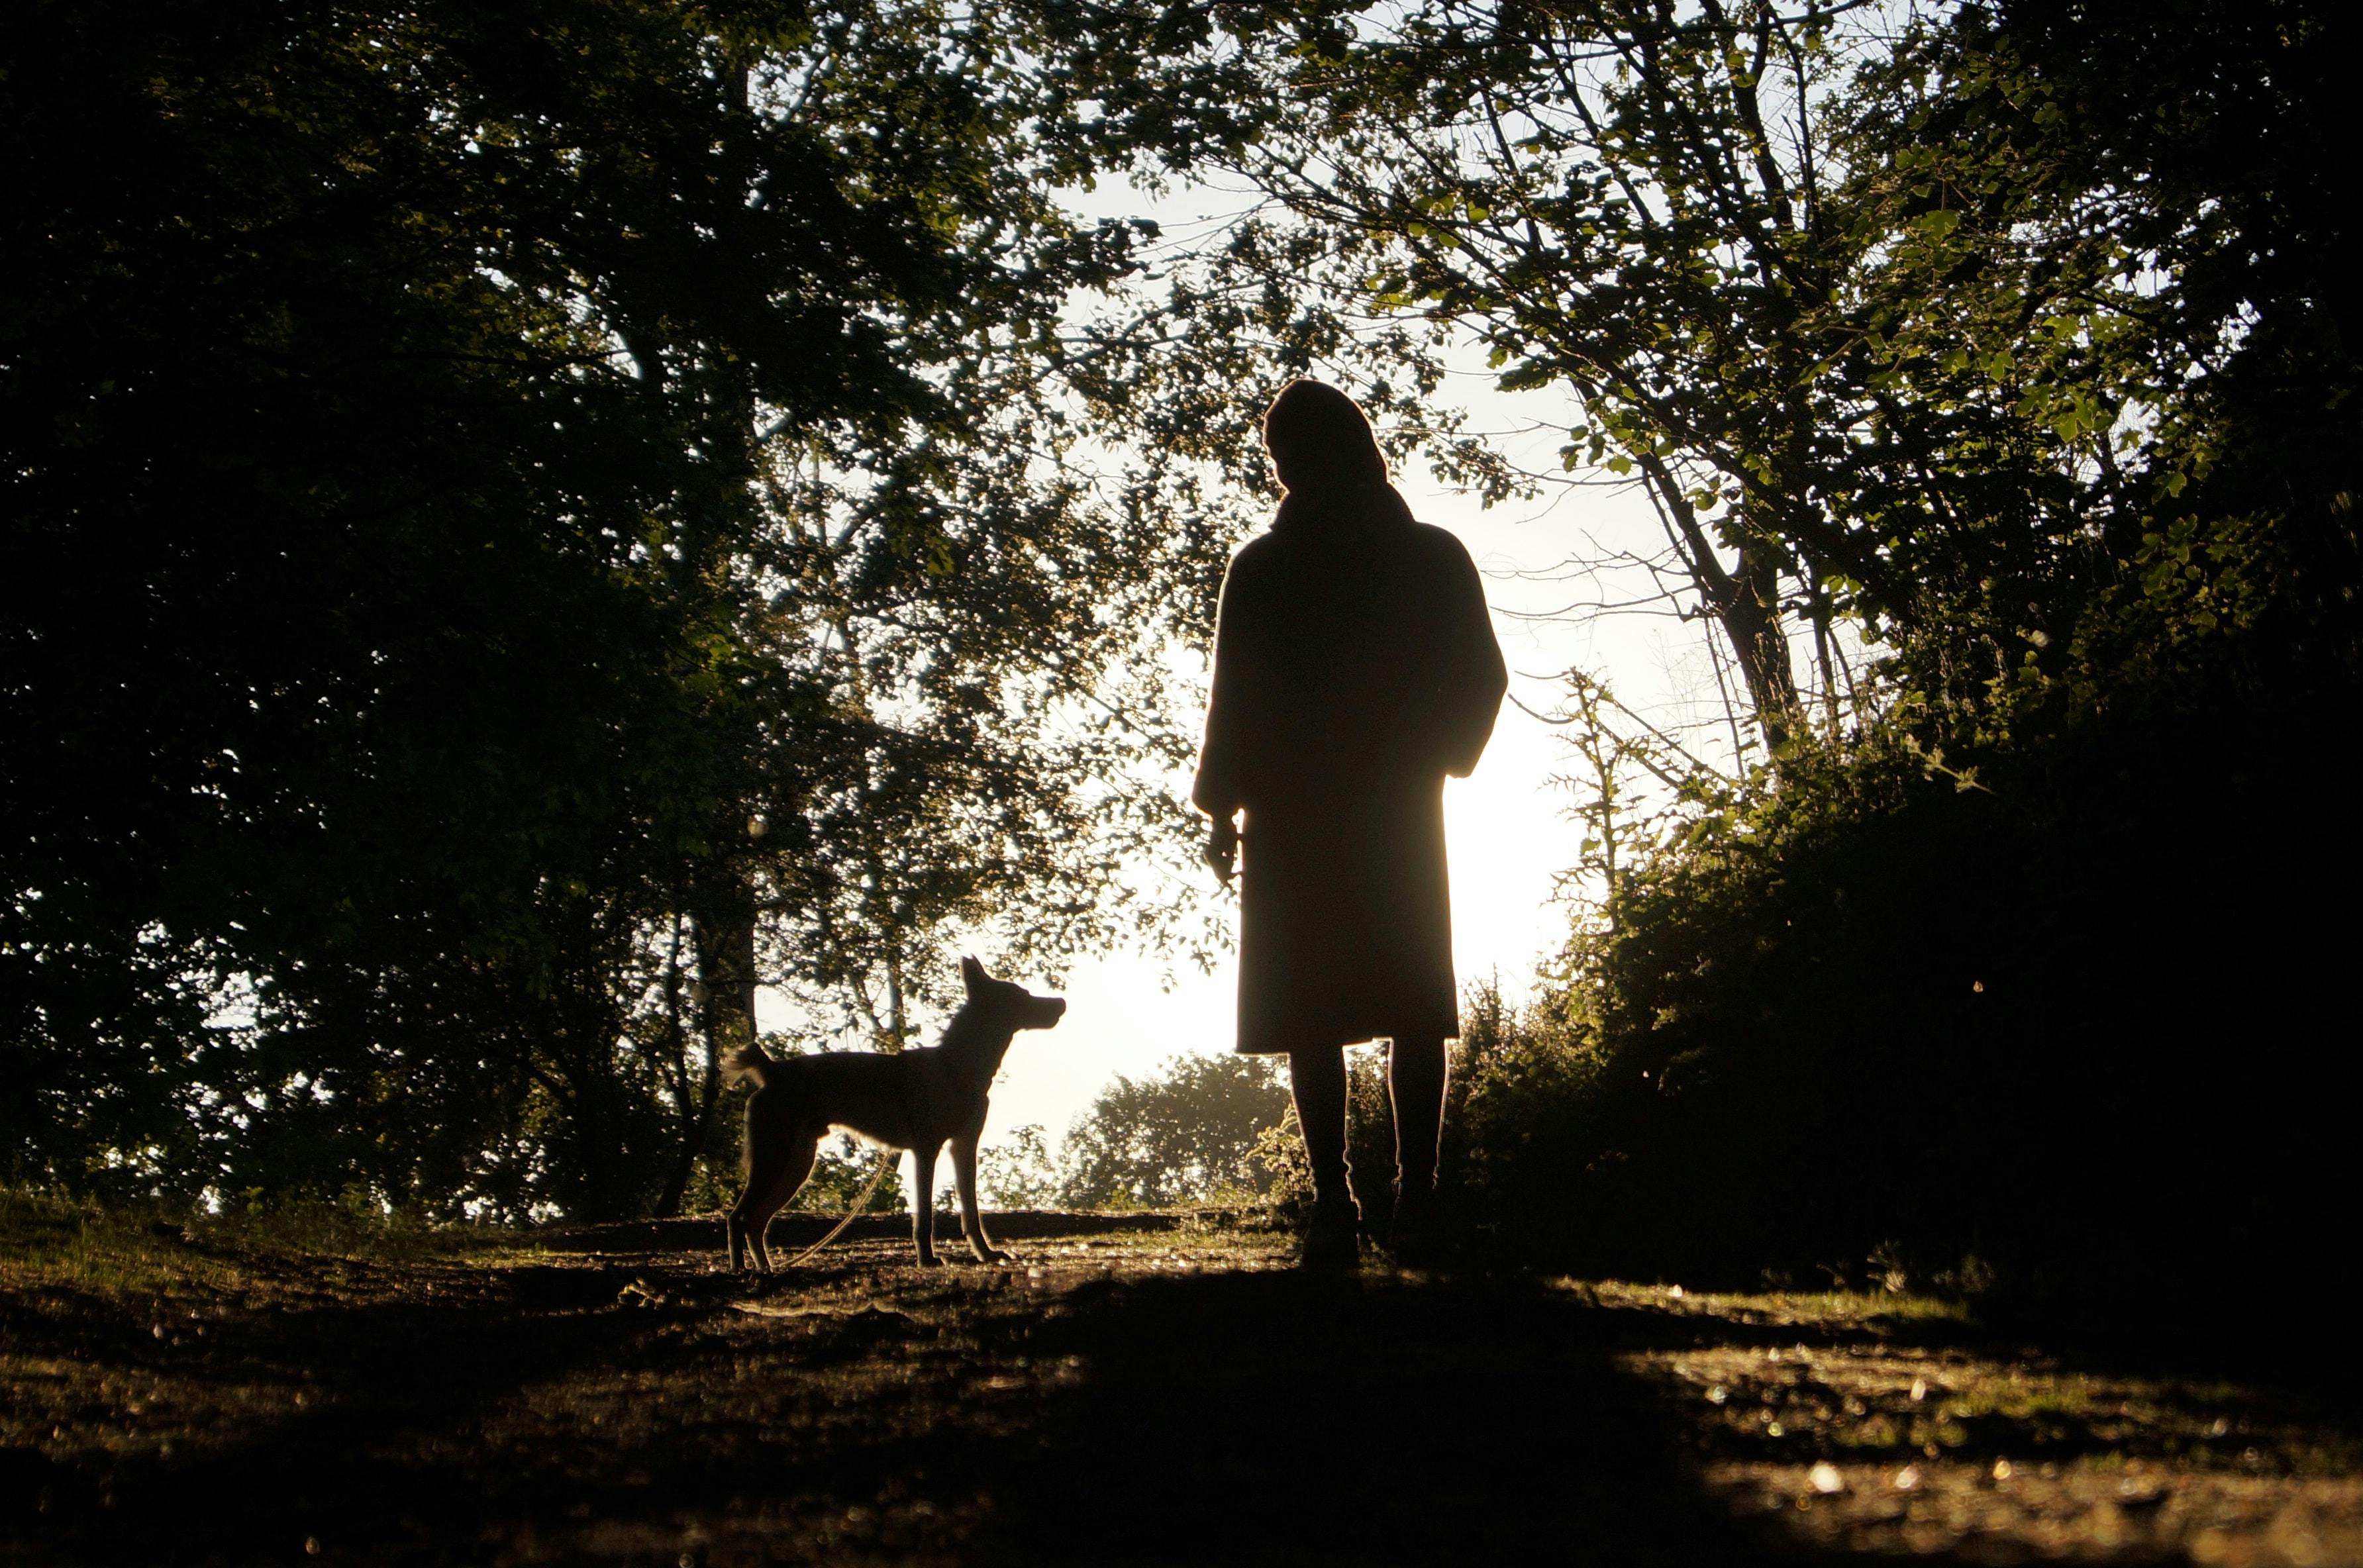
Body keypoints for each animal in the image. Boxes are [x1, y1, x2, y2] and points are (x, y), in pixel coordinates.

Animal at [709, 954, 1063, 1275]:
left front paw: (986, 1255)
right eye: (1023, 996)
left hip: (795, 1165)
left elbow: (972, 1214)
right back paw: (740, 1272)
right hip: (775, 1160)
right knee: (737, 1218)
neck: (955, 1067)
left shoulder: (963, 1149)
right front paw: (927, 1259)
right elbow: (925, 1217)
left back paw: (766, 1270)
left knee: (755, 1221)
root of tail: (772, 1070)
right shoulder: (927, 1152)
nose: (1061, 1002)